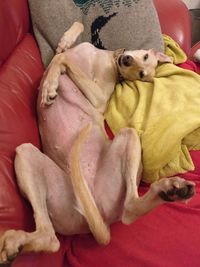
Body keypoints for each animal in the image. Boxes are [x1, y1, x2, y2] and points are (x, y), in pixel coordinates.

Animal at [0, 22, 195, 264]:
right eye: (145, 56)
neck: (110, 59)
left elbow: (62, 60)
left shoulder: (99, 98)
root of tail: (99, 216)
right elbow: (71, 37)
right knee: (50, 237)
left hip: (128, 138)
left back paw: (169, 191)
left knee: (130, 208)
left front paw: (50, 85)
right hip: (27, 156)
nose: (126, 60)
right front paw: (64, 43)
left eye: (141, 74)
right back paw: (15, 244)